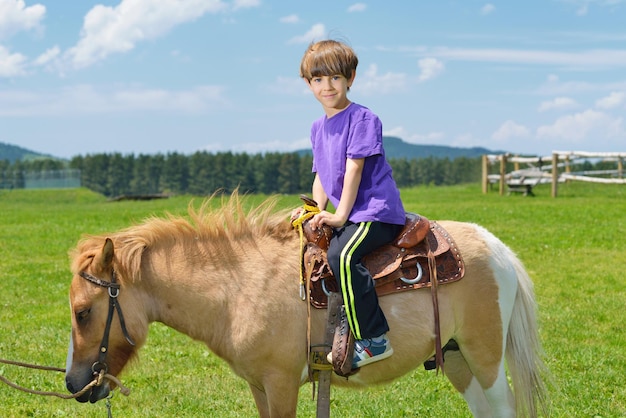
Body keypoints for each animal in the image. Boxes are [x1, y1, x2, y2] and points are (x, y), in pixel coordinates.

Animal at [66, 194, 544, 416]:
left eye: (83, 312)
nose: (74, 384)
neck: (240, 287)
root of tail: (497, 247)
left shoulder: (281, 383)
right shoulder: (258, 386)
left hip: (484, 355)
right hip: (456, 355)